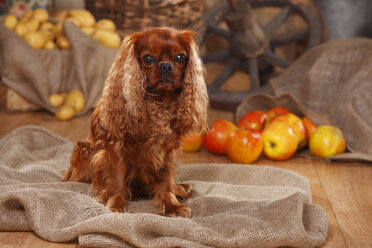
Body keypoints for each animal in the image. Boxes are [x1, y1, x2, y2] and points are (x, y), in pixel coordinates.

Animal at [62, 27, 208, 217]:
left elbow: (166, 180)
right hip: (85, 150)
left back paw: (179, 188)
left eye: (180, 58)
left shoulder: (166, 150)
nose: (166, 66)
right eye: (148, 58)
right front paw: (116, 206)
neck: (158, 103)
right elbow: (117, 178)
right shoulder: (115, 147)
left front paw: (171, 205)